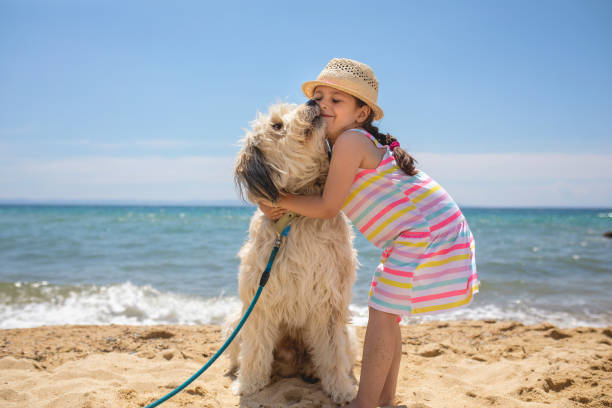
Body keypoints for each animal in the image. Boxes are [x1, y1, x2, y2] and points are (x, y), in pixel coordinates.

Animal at [230, 101, 358, 402]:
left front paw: (341, 389)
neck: (296, 216)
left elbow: (333, 353)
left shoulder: (330, 302)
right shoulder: (260, 302)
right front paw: (249, 384)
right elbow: (255, 349)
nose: (312, 102)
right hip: (234, 322)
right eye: (276, 125)